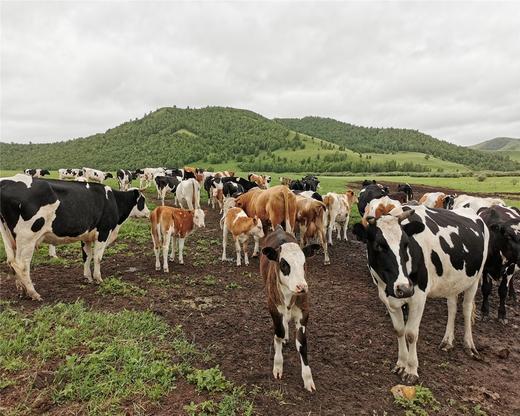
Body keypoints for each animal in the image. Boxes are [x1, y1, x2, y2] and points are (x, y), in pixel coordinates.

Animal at [0, 174, 150, 300]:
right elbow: (98, 257)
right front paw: (98, 278)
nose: (149, 213)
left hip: (9, 236)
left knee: (12, 262)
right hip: (27, 238)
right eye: (142, 200)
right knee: (22, 265)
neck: (114, 201)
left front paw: (88, 277)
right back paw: (33, 293)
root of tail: (7, 181)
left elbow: (87, 256)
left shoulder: (86, 236)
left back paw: (22, 290)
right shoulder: (103, 231)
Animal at [260, 226, 320, 392]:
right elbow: (278, 333)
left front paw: (307, 378)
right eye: (284, 264)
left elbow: (302, 344)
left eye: (304, 263)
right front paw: (278, 364)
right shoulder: (273, 307)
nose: (302, 286)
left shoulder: (304, 313)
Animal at [352, 206, 490, 386]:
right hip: (452, 282)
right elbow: (399, 330)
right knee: (452, 307)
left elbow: (411, 334)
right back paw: (447, 341)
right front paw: (401, 363)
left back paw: (469, 346)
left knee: (466, 309)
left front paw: (411, 370)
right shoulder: (388, 299)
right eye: (378, 246)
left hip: (475, 278)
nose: (404, 288)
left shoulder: (418, 297)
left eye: (406, 244)